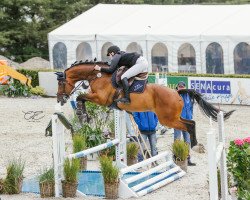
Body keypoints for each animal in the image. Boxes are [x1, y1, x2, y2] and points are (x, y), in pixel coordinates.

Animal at [56, 60, 234, 147]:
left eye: (61, 83)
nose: (59, 99)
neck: (99, 75)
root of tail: (176, 92)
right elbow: (82, 98)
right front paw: (84, 115)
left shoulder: (101, 98)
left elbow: (81, 97)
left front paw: (82, 115)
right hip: (172, 117)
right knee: (191, 123)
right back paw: (195, 144)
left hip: (167, 119)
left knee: (188, 125)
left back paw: (195, 145)